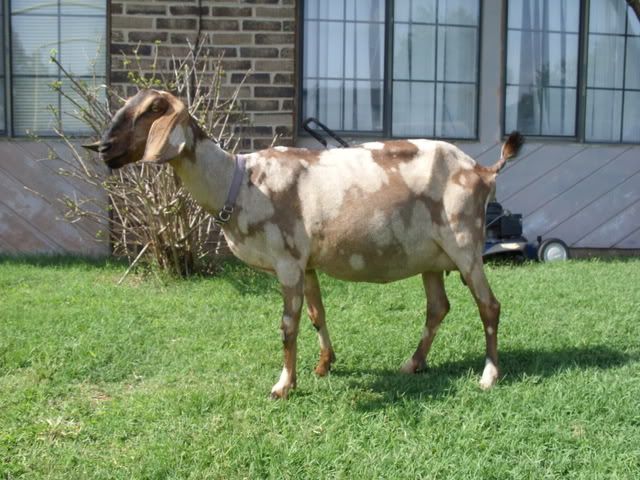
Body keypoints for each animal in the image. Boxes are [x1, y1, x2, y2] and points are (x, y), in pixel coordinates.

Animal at [85, 89, 524, 399]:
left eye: (152, 109)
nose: (104, 148)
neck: (239, 183)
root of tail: (483, 170)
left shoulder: (287, 260)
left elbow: (288, 324)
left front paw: (283, 385)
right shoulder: (307, 262)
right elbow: (316, 314)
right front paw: (324, 365)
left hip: (465, 243)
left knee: (489, 305)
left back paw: (489, 375)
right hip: (431, 258)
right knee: (438, 308)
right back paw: (411, 364)